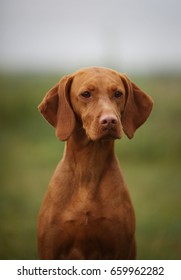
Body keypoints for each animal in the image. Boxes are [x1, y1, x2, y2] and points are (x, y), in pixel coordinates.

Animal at [37, 66, 153, 260]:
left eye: (118, 94)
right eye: (85, 94)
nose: (110, 121)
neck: (89, 169)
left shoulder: (121, 247)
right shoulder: (49, 249)